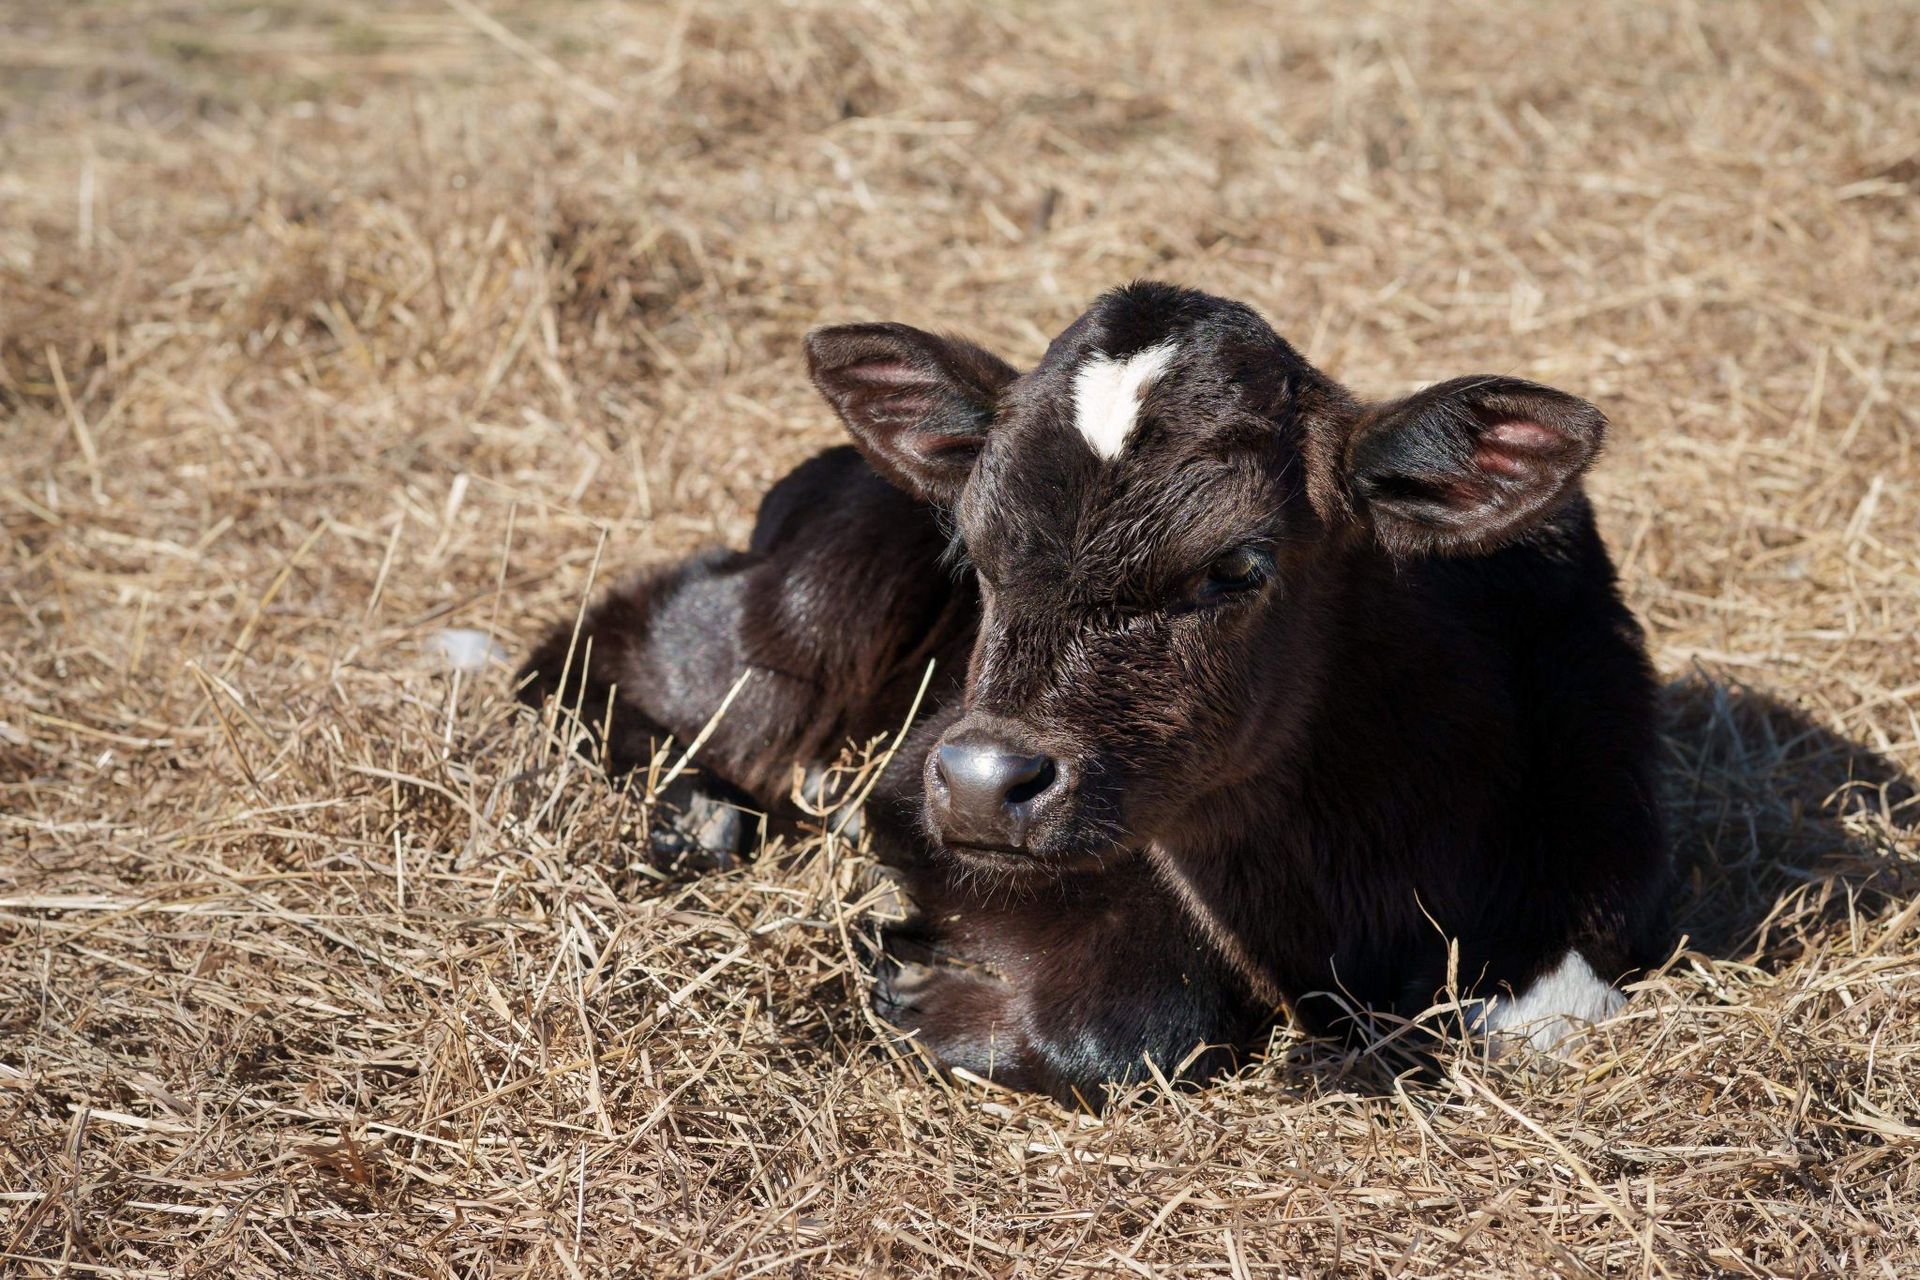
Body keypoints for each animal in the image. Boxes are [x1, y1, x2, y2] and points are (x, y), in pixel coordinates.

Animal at [518, 281, 1671, 1105]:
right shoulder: (914, 794)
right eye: (975, 548)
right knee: (611, 650)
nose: (986, 784)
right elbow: (1150, 1013)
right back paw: (694, 812)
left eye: (1238, 564)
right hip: (806, 612)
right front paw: (912, 983)